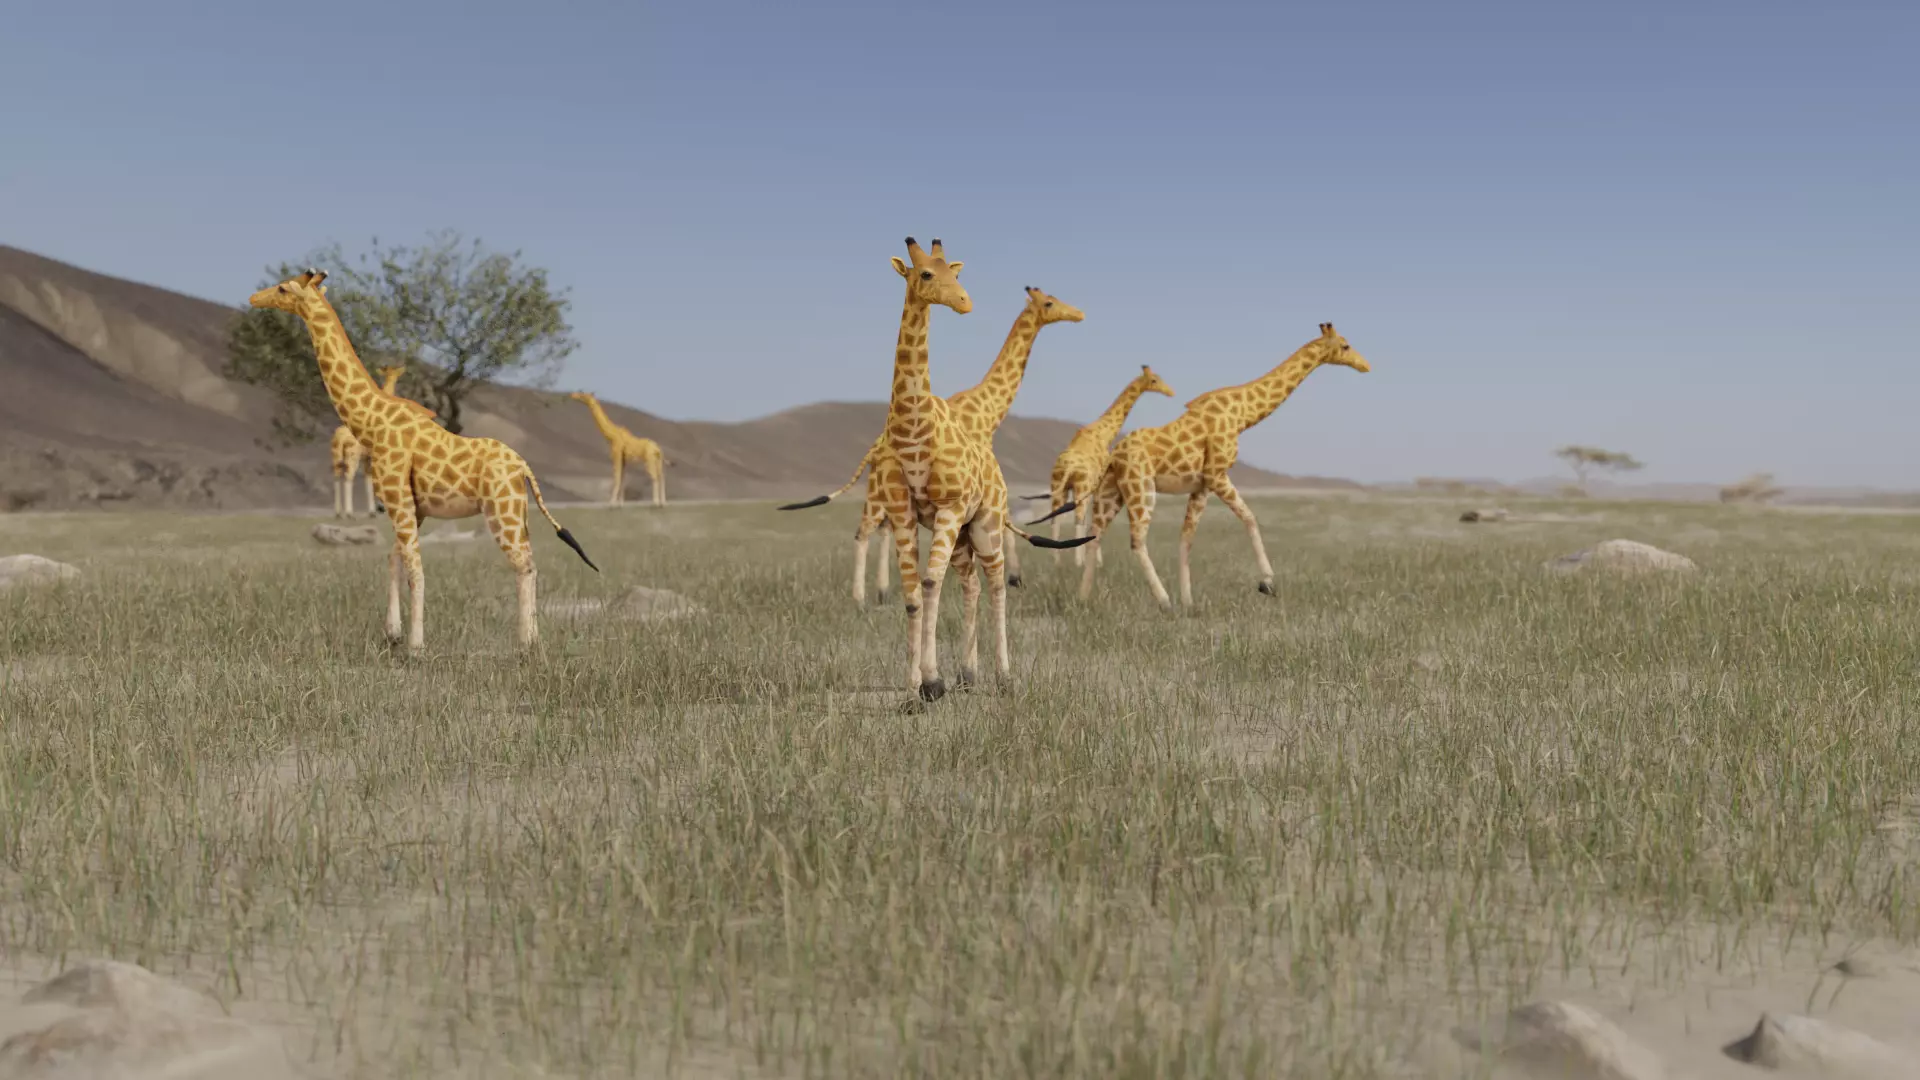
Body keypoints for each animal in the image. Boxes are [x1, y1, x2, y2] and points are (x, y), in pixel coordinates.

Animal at [330, 366, 433, 517]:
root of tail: (339, 437)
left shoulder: (368, 457)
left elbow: (368, 478)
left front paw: (373, 511)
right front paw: (378, 510)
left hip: (336, 455)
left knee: (337, 475)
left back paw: (338, 513)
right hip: (352, 455)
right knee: (349, 475)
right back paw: (349, 513)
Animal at [779, 285, 1085, 604]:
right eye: (1049, 303)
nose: (1078, 314)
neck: (987, 412)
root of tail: (874, 448)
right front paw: (1014, 578)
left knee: (885, 530)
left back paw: (882, 591)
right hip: (878, 493)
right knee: (864, 531)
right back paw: (860, 598)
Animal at [1019, 364, 1176, 567]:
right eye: (1154, 380)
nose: (1171, 392)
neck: (1104, 432)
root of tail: (1067, 467)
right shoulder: (1098, 482)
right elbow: (1093, 517)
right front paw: (1095, 561)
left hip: (1058, 485)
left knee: (1056, 516)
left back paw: (1055, 561)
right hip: (1080, 485)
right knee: (1077, 517)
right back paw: (1077, 562)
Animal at [1078, 324, 1370, 607]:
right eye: (1345, 345)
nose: (1366, 366)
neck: (1242, 414)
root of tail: (1114, 456)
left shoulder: (1202, 485)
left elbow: (1187, 538)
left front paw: (1189, 602)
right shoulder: (1217, 473)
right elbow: (1249, 517)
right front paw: (1267, 582)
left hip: (1111, 491)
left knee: (1096, 533)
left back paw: (1086, 598)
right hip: (1140, 486)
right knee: (1137, 539)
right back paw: (1163, 600)